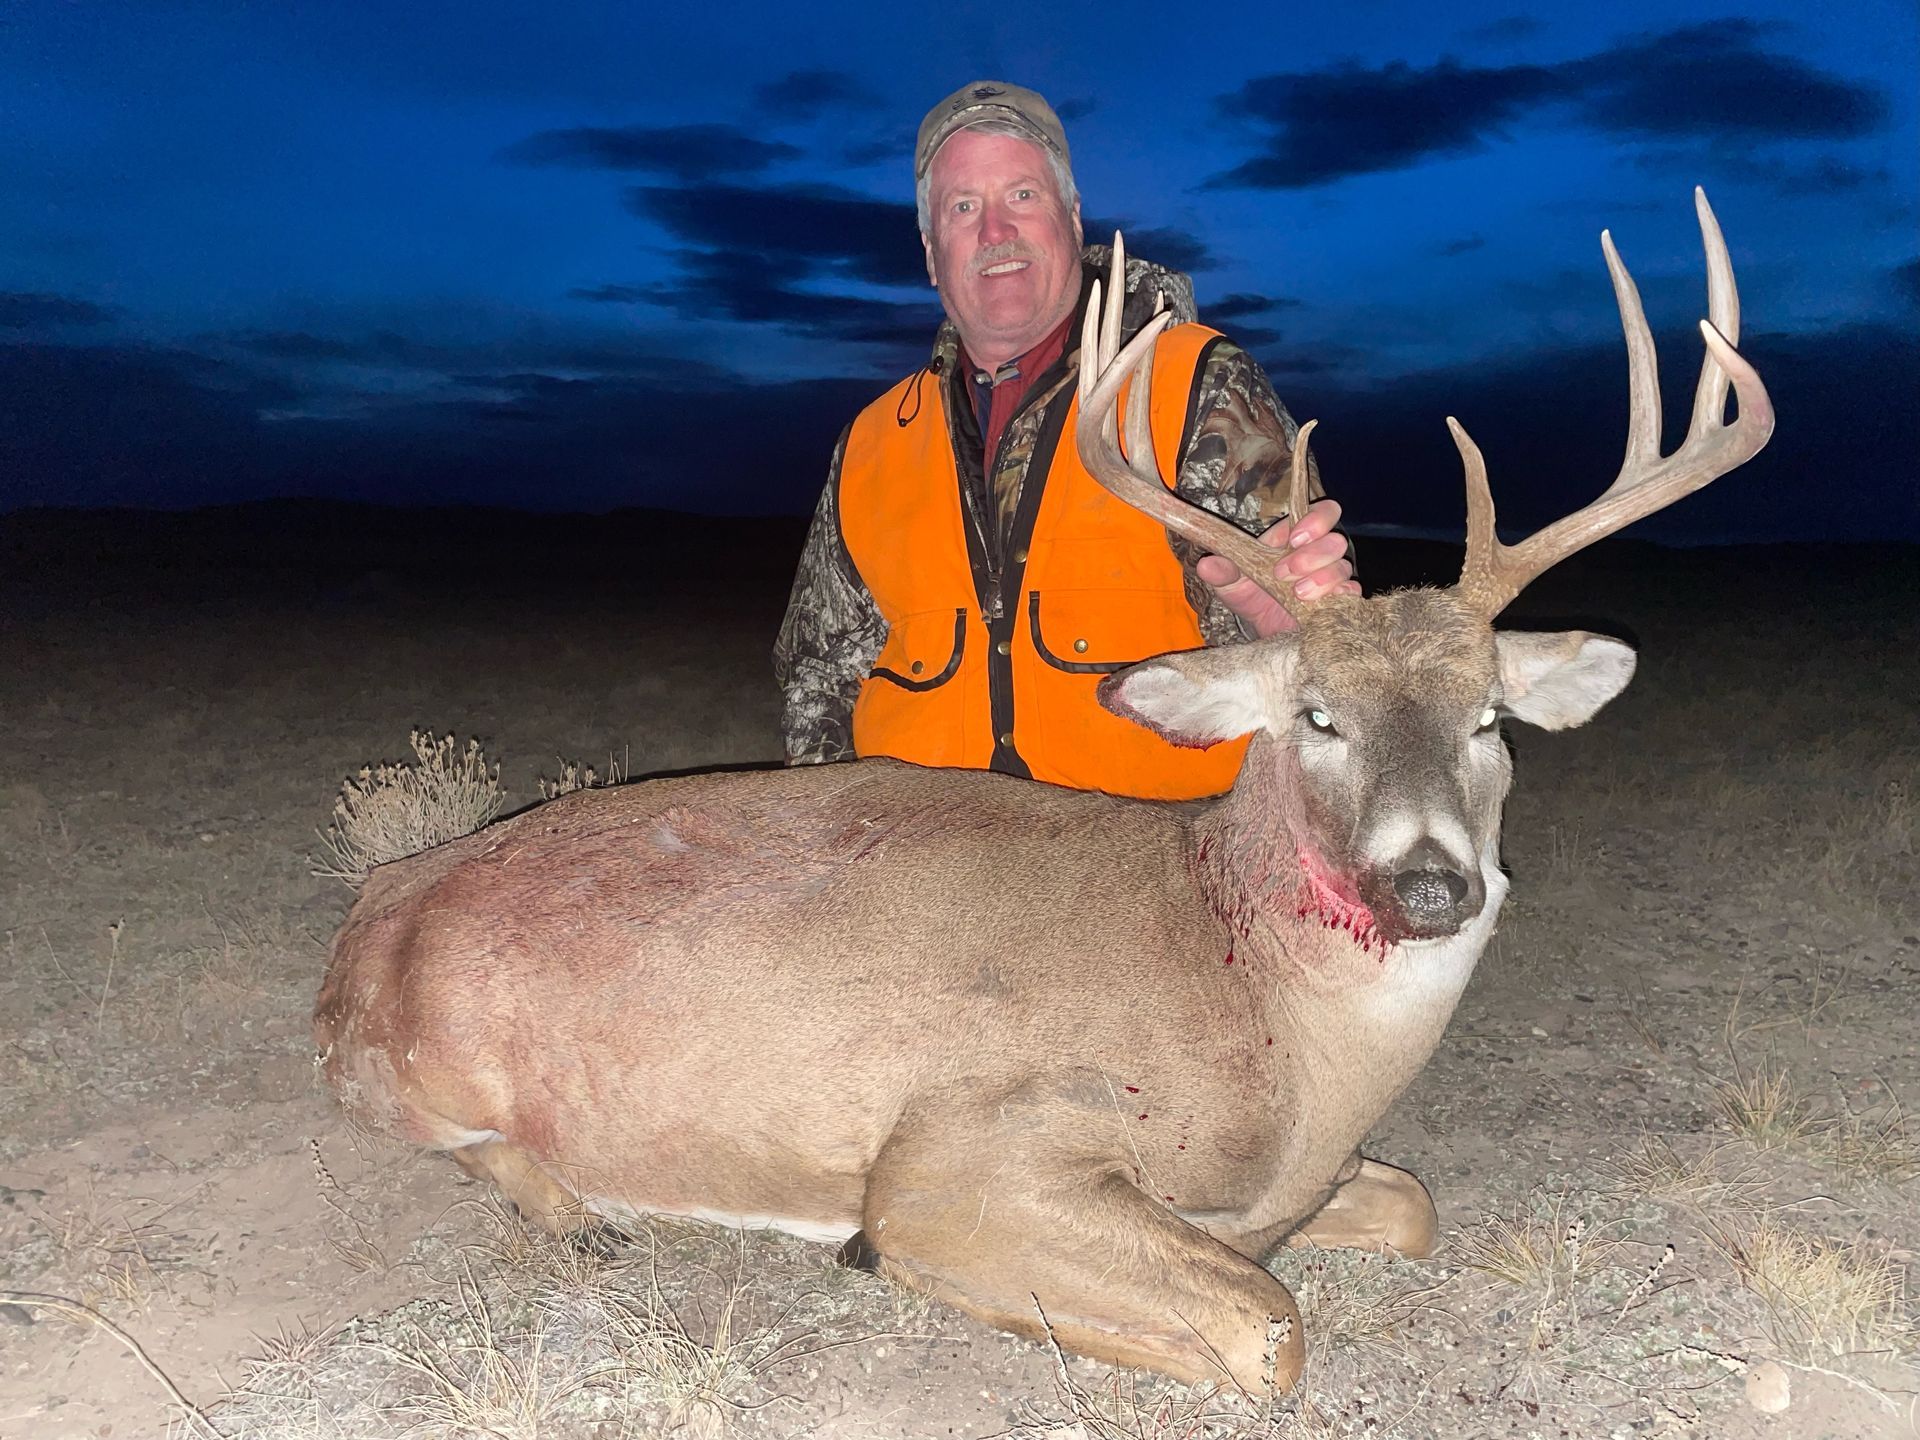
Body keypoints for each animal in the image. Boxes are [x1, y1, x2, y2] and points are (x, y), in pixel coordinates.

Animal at [314, 190, 1772, 1395]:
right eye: (1317, 717)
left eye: (1490, 722)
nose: (1430, 882)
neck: (1269, 1019)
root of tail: (371, 915)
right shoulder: (965, 1144)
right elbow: (1268, 1328)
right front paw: (899, 1267)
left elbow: (1407, 1209)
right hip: (417, 1072)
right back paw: (585, 1216)